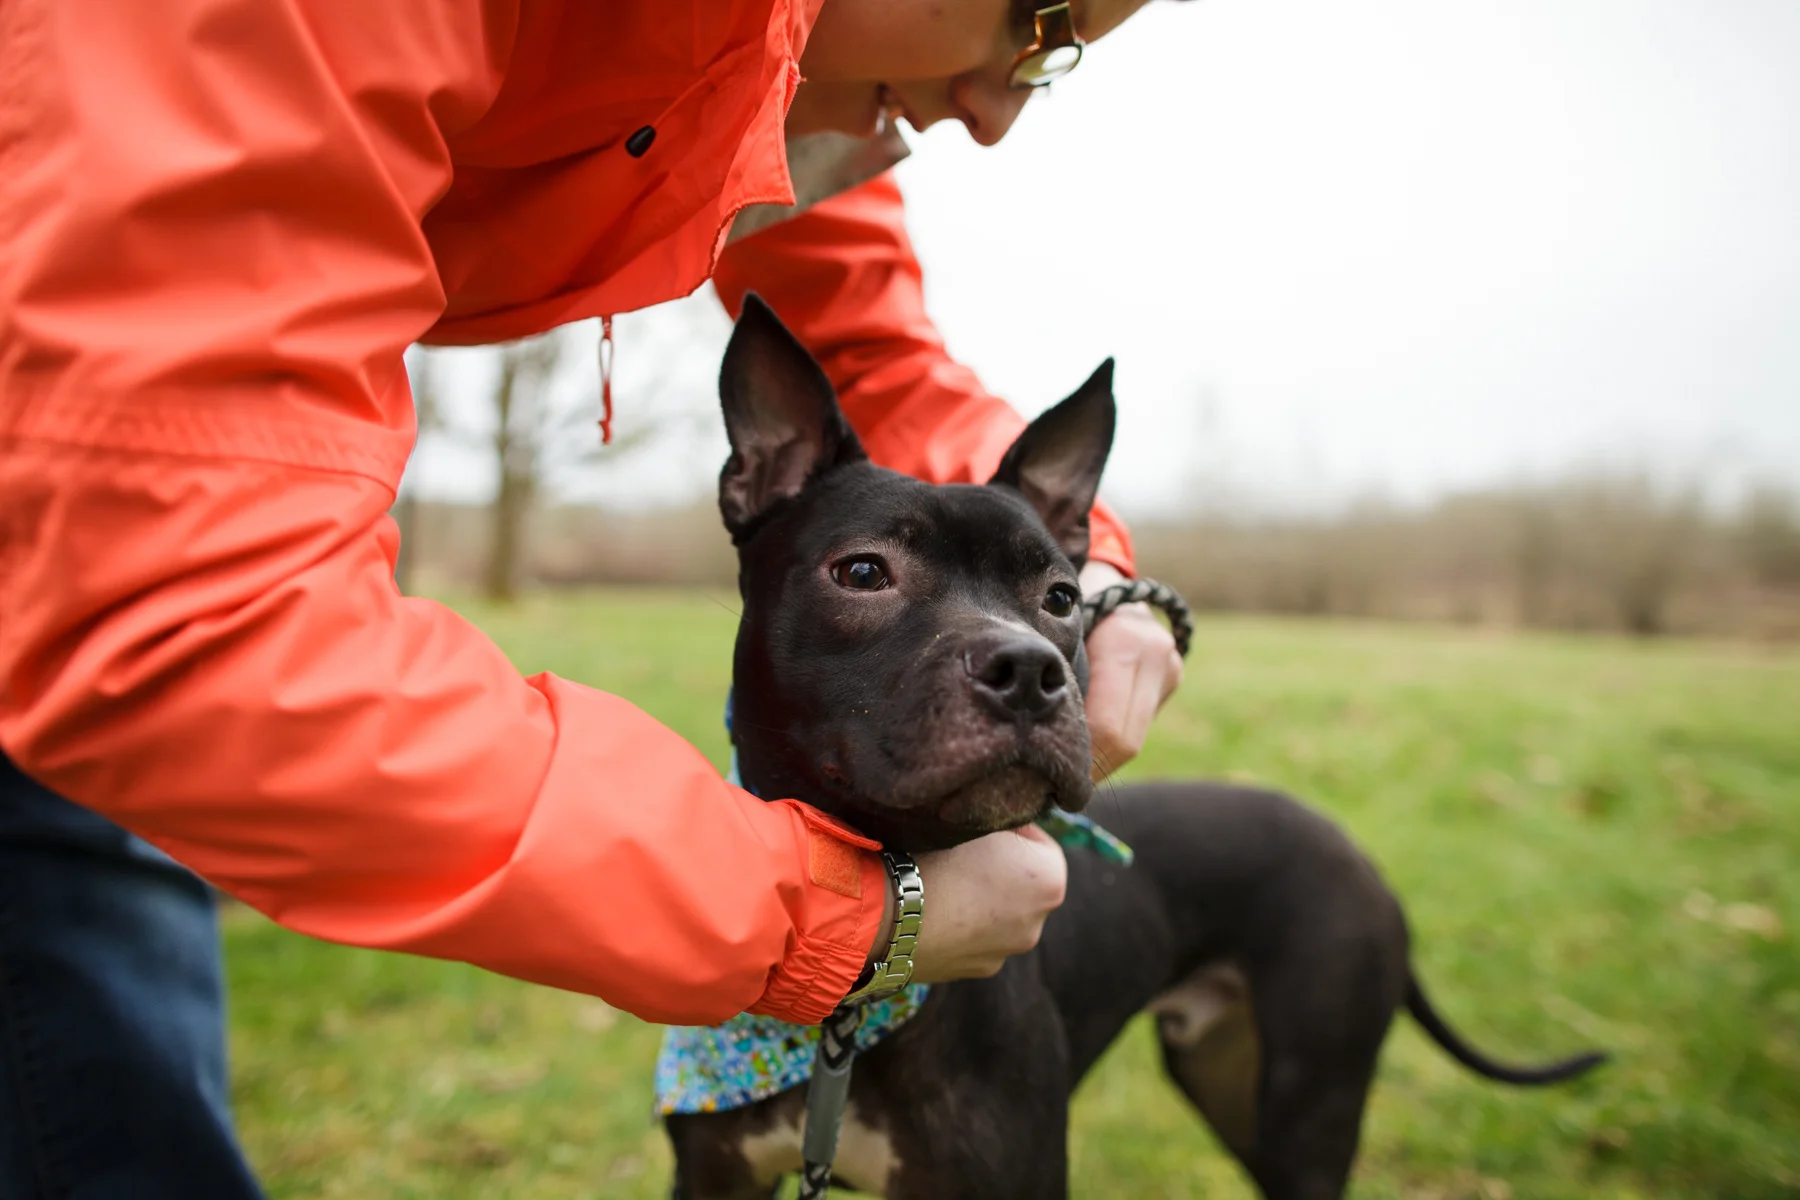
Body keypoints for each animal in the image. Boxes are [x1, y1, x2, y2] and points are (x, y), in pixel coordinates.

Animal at [665, 296, 1606, 1200]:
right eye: (861, 573)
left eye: (1062, 597)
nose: (1030, 671)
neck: (845, 1020)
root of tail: (1356, 852)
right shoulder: (714, 1178)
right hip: (1230, 1079)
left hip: (1307, 1106)